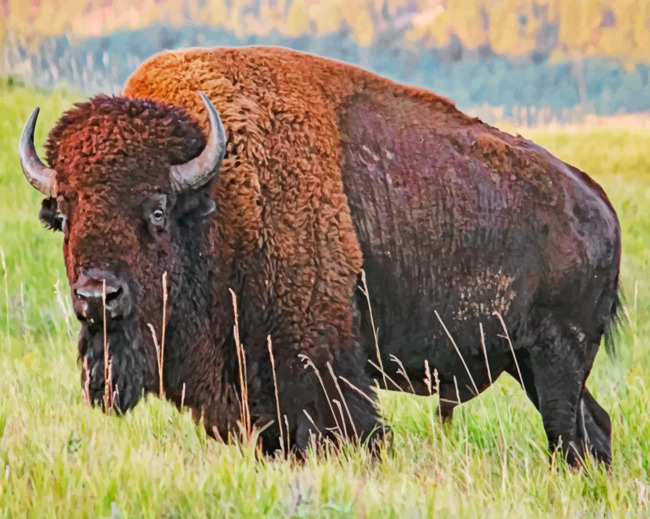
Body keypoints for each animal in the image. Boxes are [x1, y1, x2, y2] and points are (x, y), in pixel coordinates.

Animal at [18, 46, 622, 467]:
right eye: (64, 213)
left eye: (158, 209)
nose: (98, 296)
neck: (219, 201)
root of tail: (597, 201)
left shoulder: (316, 367)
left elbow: (350, 430)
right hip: (530, 363)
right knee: (594, 425)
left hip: (556, 358)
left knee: (568, 433)